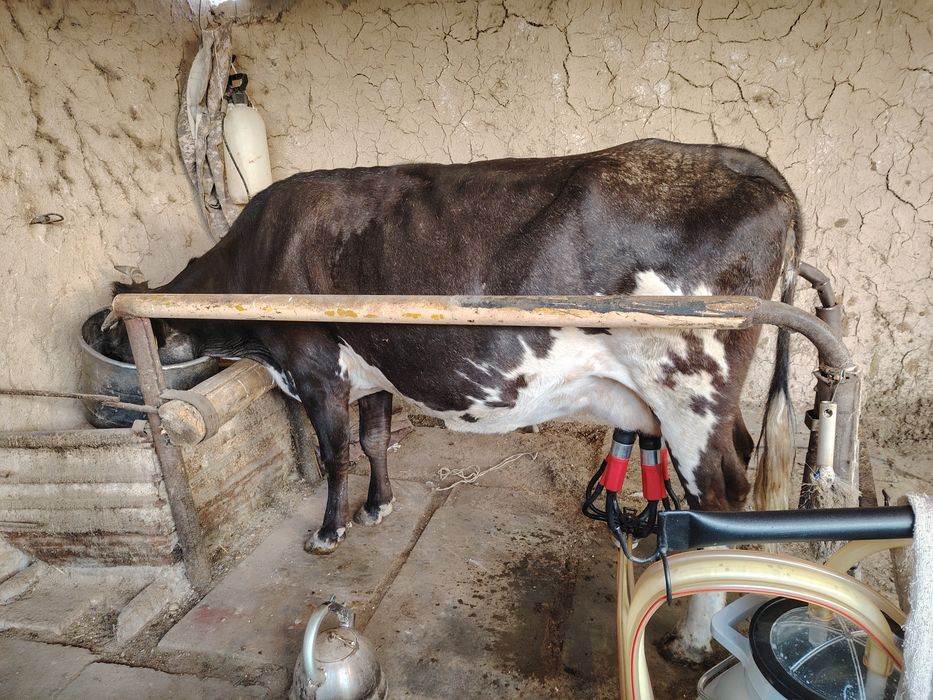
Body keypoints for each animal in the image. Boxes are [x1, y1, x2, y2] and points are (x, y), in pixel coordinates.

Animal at [105, 139, 800, 664]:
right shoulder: (372, 375)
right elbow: (374, 440)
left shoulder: (315, 370)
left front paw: (329, 532)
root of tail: (738, 159)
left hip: (688, 385)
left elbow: (335, 456)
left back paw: (692, 639)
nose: (112, 350)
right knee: (735, 466)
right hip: (707, 401)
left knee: (720, 493)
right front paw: (378, 507)